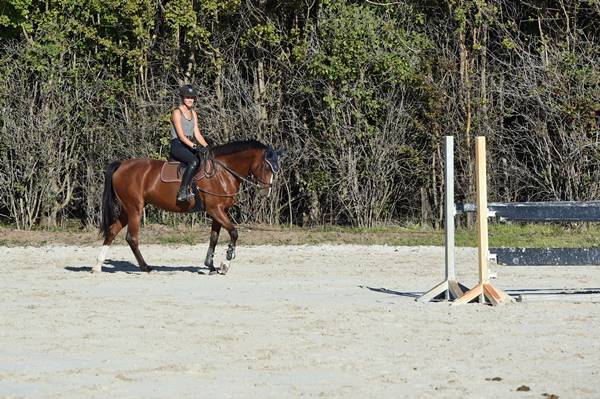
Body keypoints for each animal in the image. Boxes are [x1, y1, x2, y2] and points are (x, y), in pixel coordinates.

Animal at [93, 140, 284, 276]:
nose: (266, 191)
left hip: (128, 209)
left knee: (112, 231)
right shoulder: (216, 210)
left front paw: (211, 266)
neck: (222, 172)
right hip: (135, 208)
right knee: (131, 238)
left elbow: (214, 238)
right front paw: (226, 262)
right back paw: (146, 267)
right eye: (267, 166)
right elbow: (234, 232)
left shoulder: (219, 211)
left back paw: (97, 265)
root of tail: (122, 165)